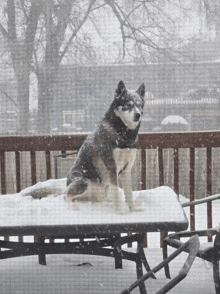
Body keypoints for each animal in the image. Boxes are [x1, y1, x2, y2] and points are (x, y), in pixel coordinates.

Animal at [65, 80, 144, 214]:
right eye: (128, 105)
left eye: (140, 105)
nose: (138, 115)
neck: (123, 133)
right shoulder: (112, 166)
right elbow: (117, 191)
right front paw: (120, 212)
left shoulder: (127, 170)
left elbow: (128, 193)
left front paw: (133, 209)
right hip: (83, 182)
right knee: (65, 196)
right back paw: (74, 207)